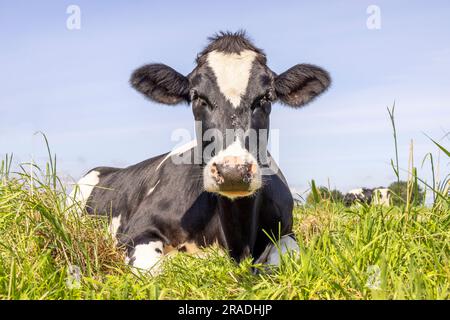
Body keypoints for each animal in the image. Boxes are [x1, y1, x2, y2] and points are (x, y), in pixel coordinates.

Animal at [70, 31, 330, 274]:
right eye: (197, 96)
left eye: (266, 96)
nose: (233, 171)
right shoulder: (136, 231)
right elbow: (153, 273)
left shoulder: (287, 231)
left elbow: (286, 261)